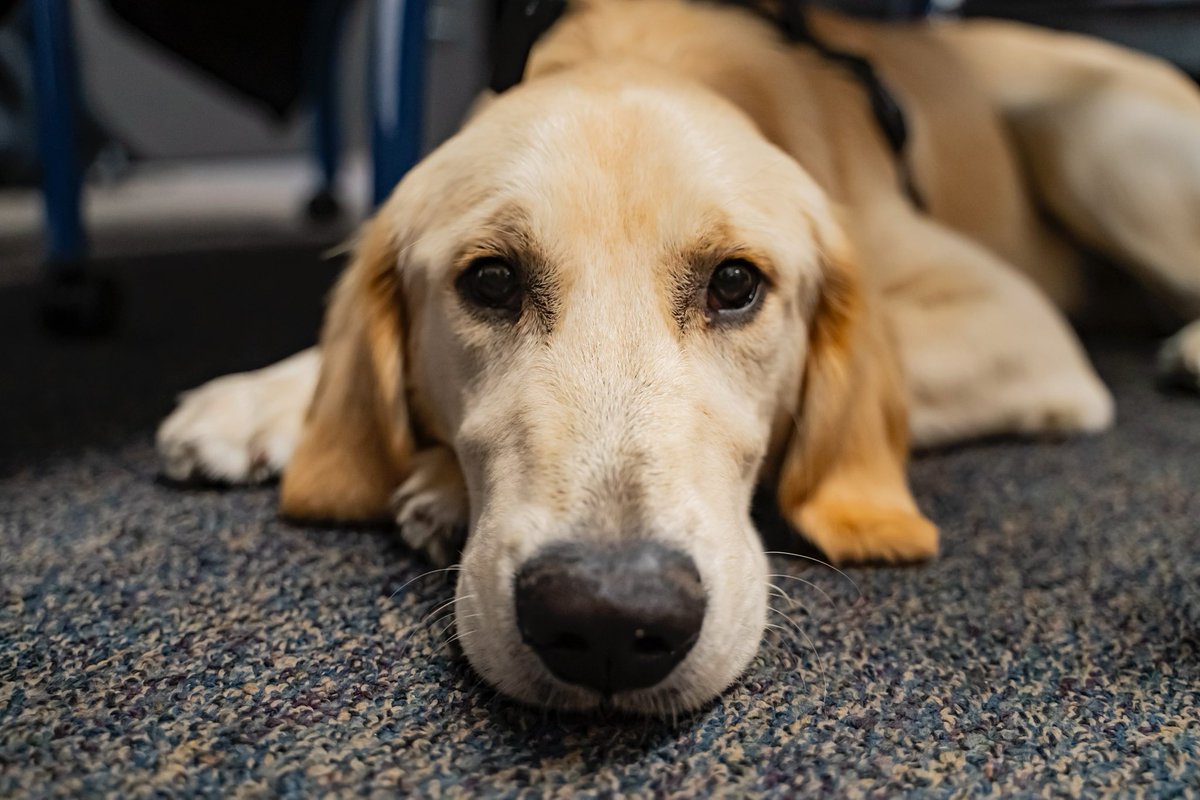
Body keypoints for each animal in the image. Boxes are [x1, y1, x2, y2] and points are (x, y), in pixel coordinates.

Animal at [154, 0, 1200, 714]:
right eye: (489, 282)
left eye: (735, 284)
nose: (610, 620)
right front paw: (262, 400)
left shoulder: (1016, 320)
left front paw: (438, 488)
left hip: (1098, 138)